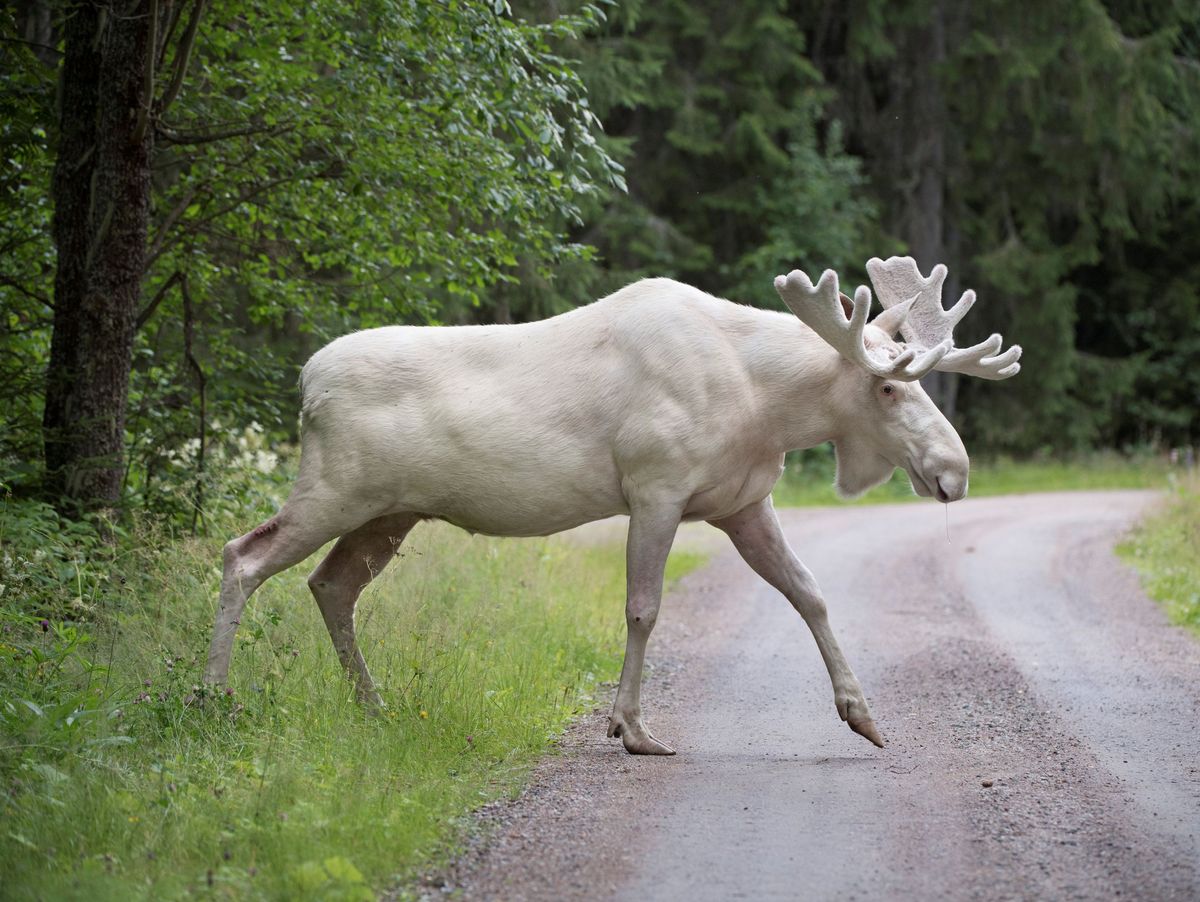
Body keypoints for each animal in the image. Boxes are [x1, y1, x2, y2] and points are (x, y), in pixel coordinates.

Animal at [202, 256, 1020, 755]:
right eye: (887, 386)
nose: (954, 471)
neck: (764, 405)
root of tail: (306, 383)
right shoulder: (655, 485)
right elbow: (643, 607)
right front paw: (630, 727)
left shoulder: (743, 502)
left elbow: (811, 594)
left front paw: (863, 715)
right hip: (336, 488)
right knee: (242, 555)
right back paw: (213, 697)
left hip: (389, 512)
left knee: (330, 584)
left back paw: (373, 707)